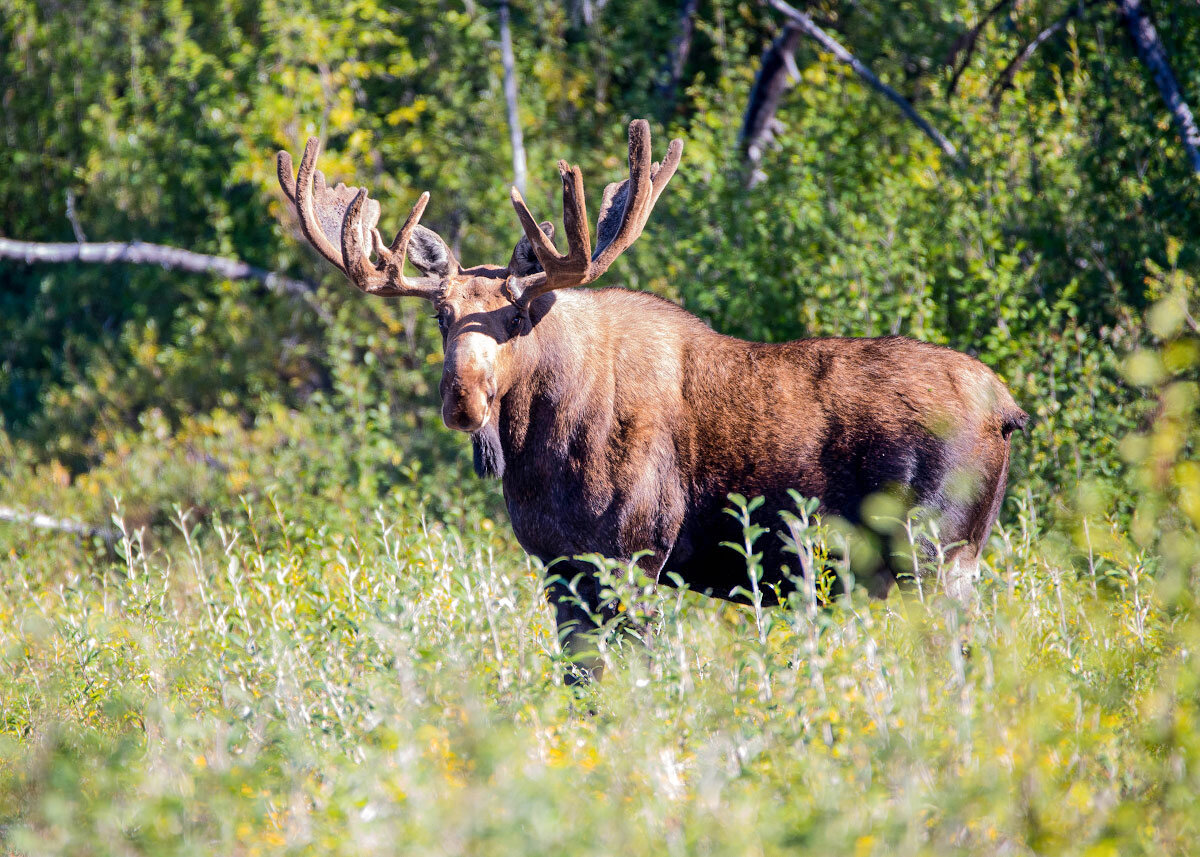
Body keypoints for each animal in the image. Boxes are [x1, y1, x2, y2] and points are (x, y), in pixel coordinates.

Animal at [276, 120, 1027, 676]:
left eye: (517, 316)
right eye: (441, 314)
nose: (463, 399)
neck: (538, 452)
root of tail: (1009, 410)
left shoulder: (633, 552)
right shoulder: (560, 566)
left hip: (932, 553)